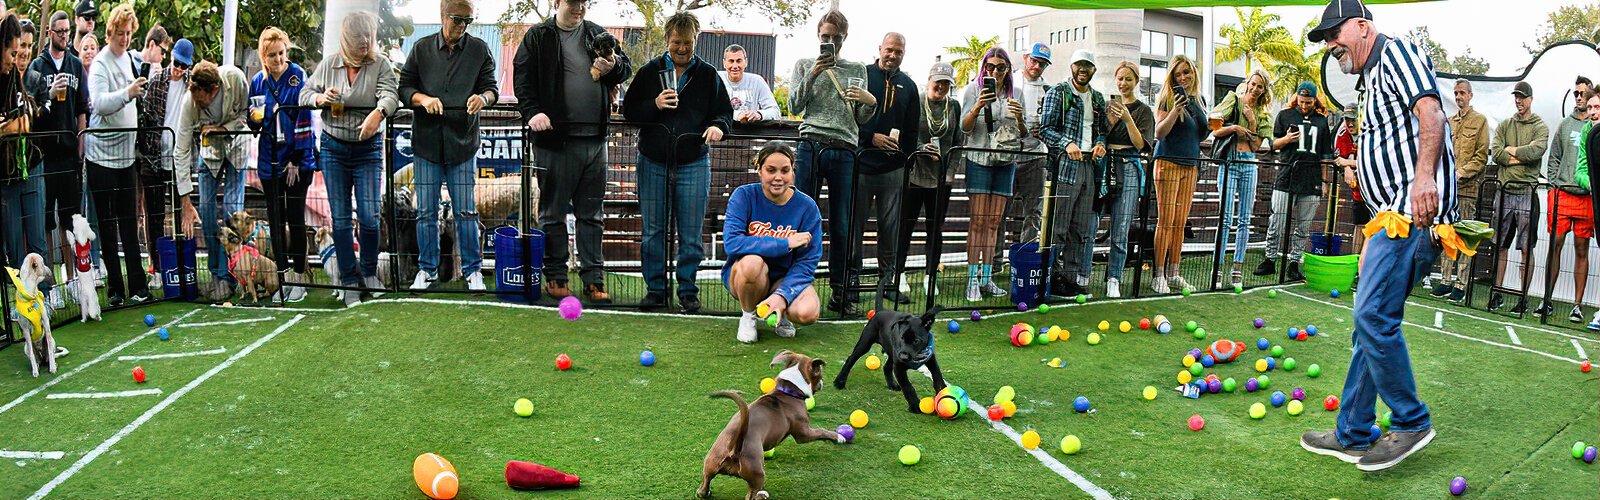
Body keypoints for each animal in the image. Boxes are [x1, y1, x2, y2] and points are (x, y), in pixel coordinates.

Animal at [697, 350, 851, 500]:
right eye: (819, 372)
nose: (823, 383)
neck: (788, 391)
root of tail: (734, 450)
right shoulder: (804, 434)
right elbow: (821, 431)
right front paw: (839, 437)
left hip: (710, 464)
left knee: (703, 488)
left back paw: (706, 492)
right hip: (757, 474)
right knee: (751, 495)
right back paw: (762, 495)